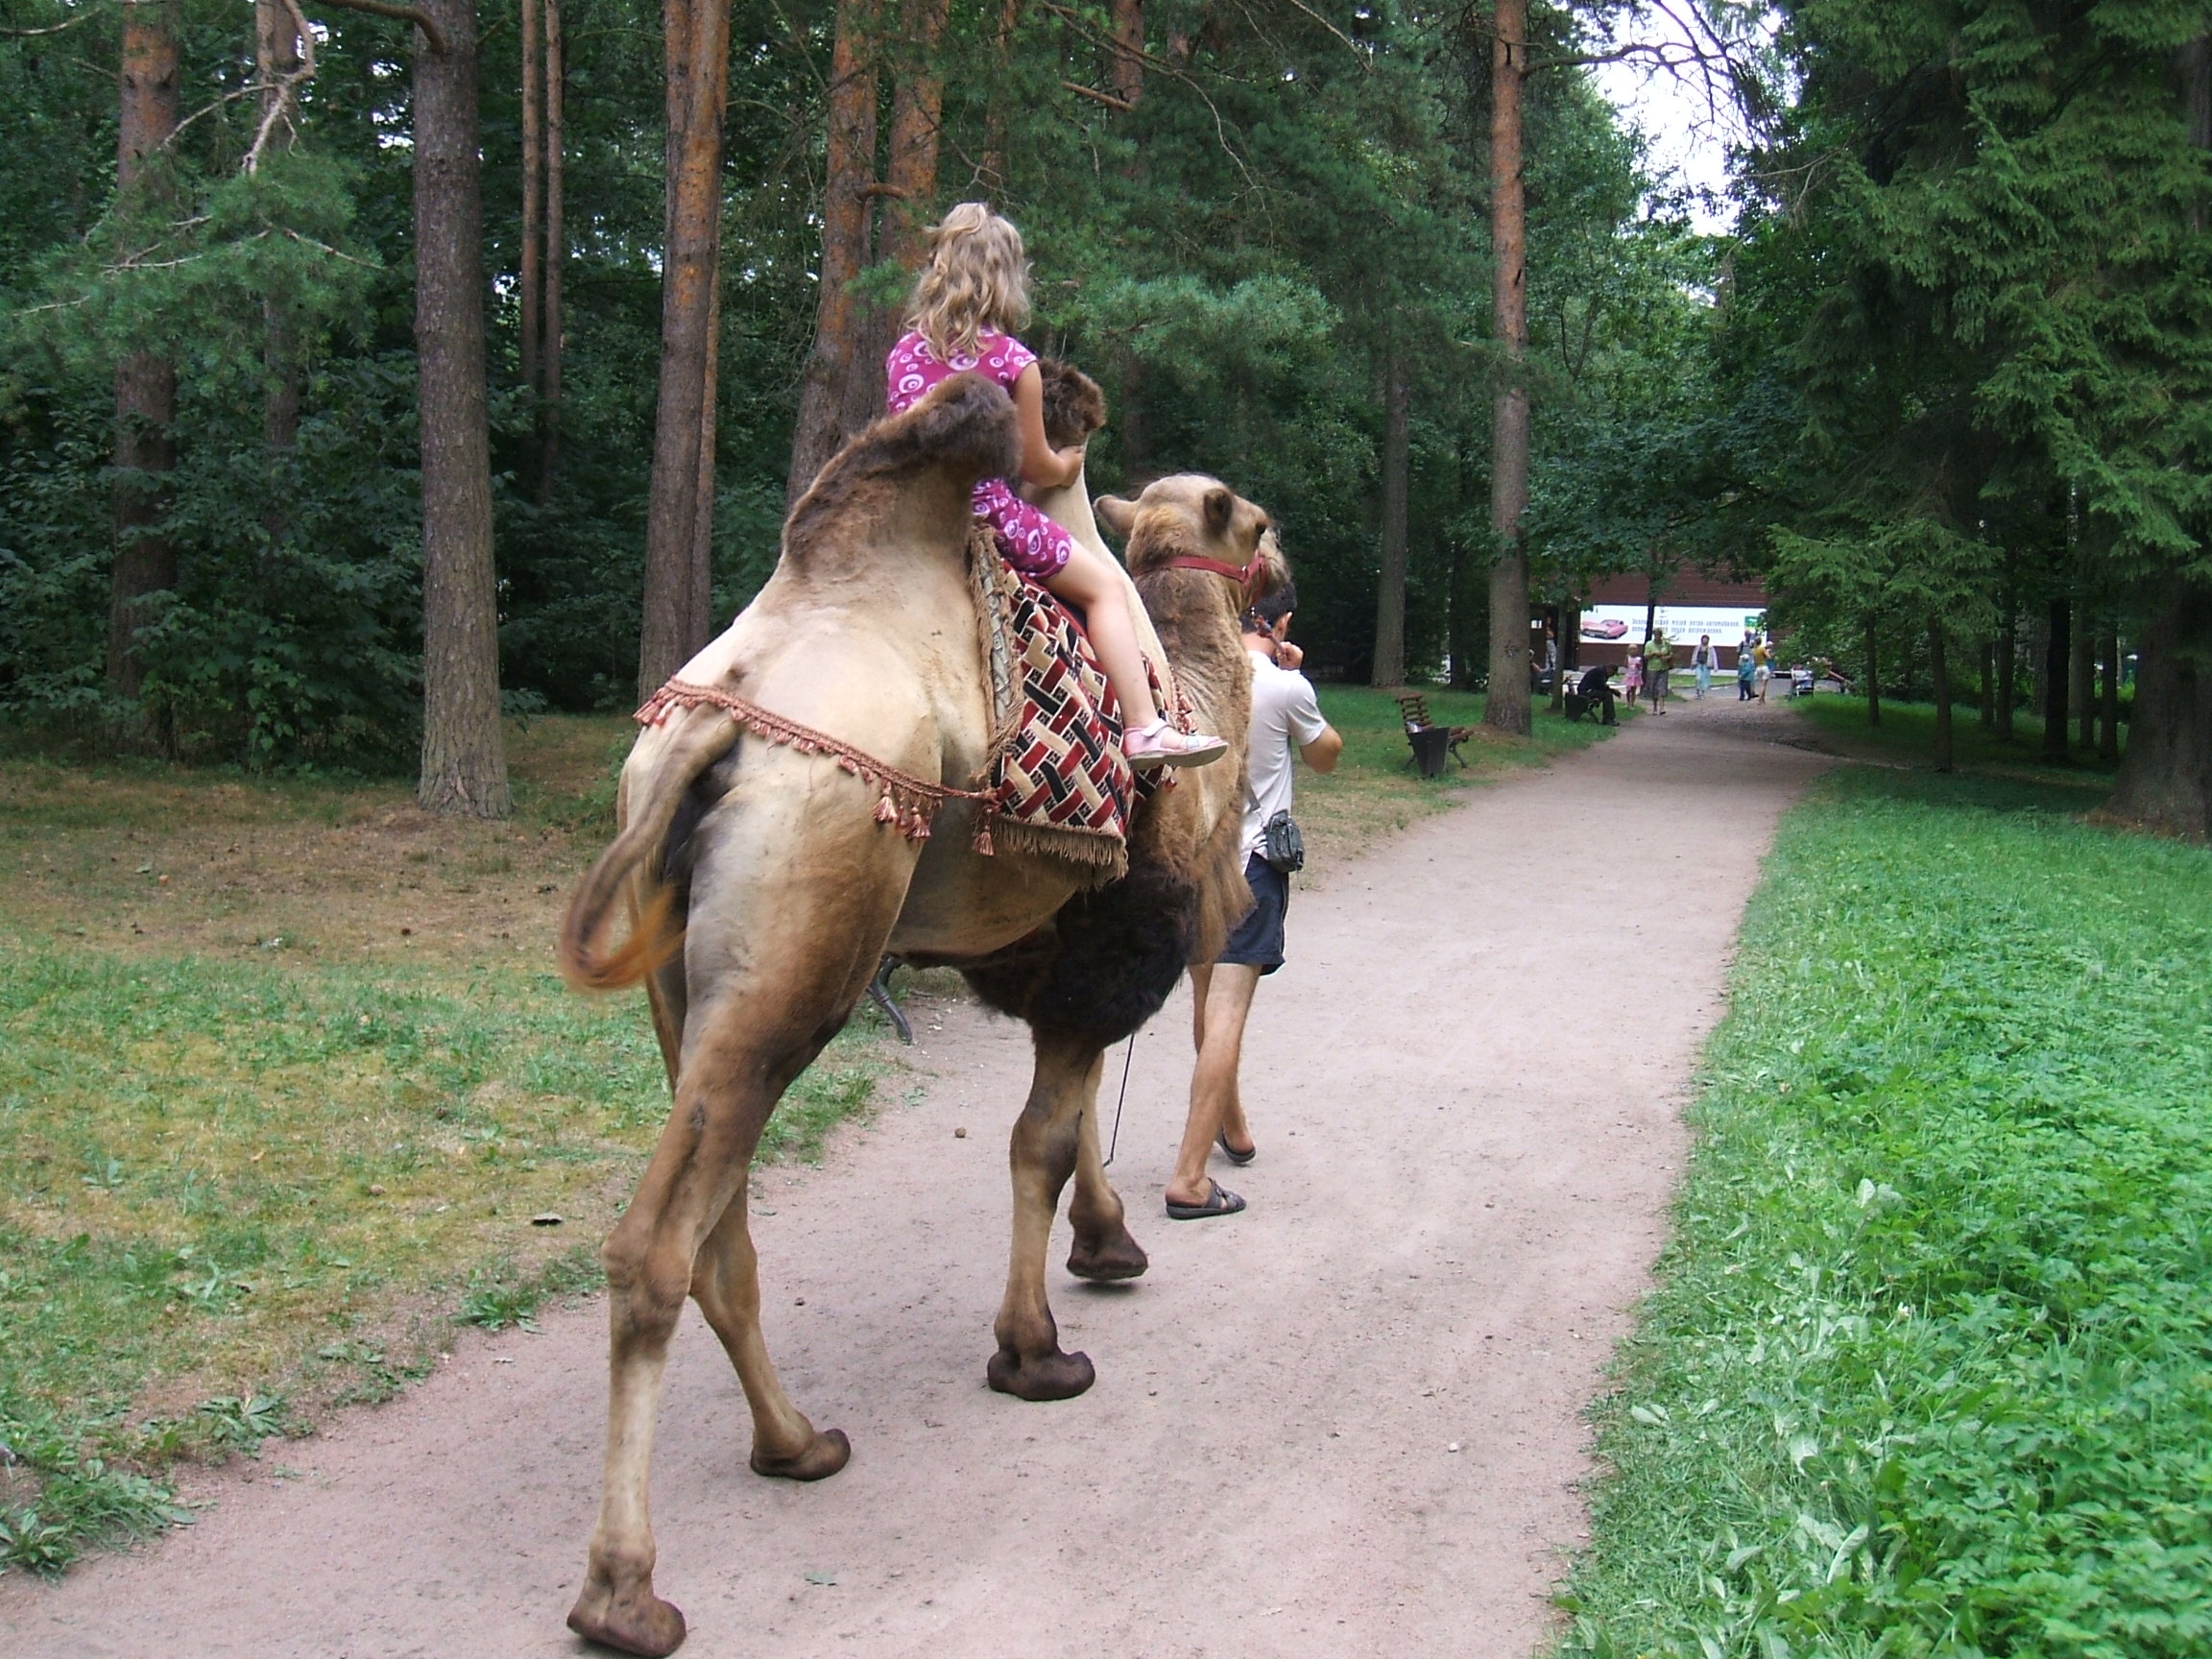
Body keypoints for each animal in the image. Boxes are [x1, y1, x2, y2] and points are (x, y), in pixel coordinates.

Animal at [557, 369, 1283, 1654]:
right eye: (1256, 523)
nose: (1288, 584)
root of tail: (719, 728)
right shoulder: (1114, 948)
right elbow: (1041, 1140)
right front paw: (1036, 1351)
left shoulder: (1046, 955)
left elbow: (1074, 1128)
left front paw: (1108, 1248)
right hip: (812, 934)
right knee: (657, 1245)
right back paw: (627, 1596)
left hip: (683, 982)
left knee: (721, 1232)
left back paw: (797, 1444)